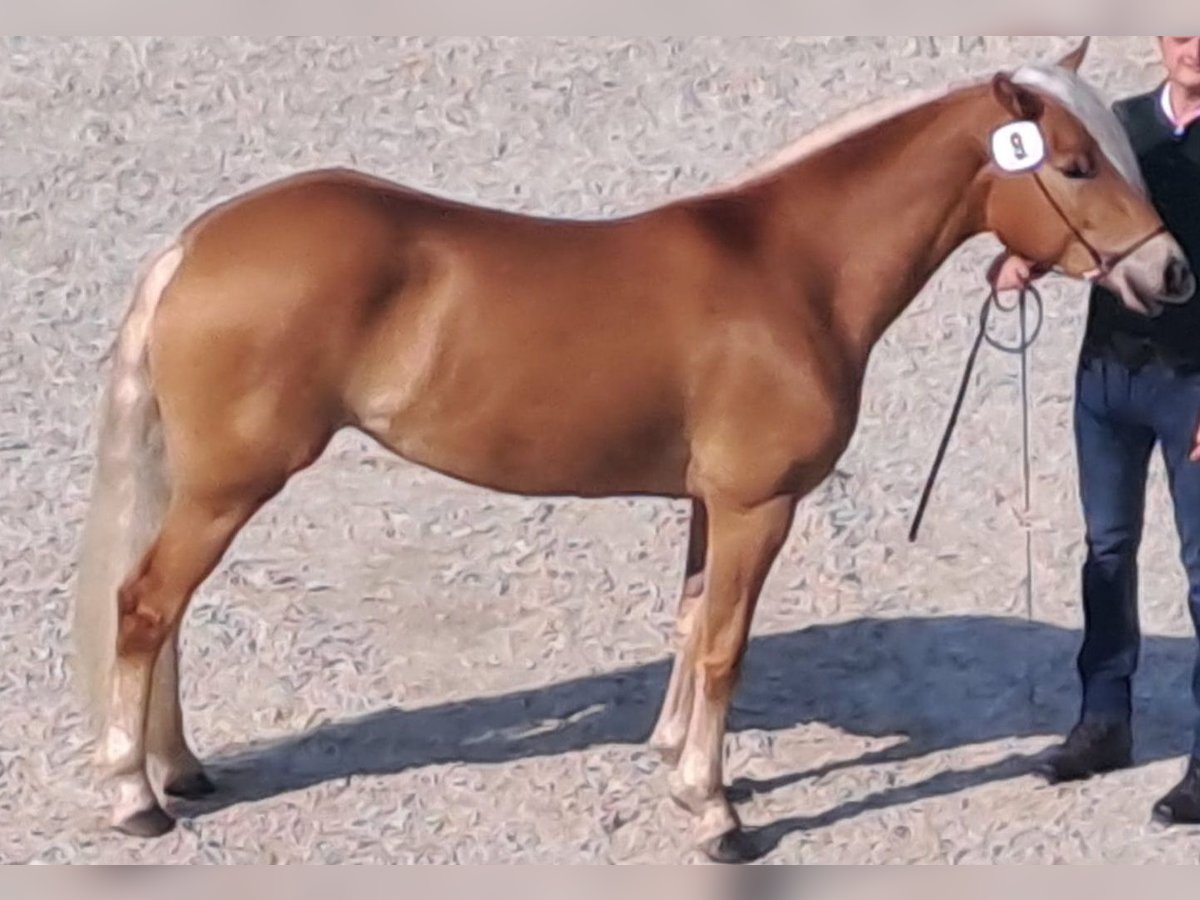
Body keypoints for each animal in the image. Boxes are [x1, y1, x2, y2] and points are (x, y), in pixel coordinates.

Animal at [72, 38, 1190, 864]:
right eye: (1076, 166)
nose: (1171, 275)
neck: (794, 271)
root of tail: (198, 243)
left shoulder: (709, 504)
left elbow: (693, 625)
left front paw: (682, 771)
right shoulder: (757, 506)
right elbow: (728, 645)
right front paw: (717, 814)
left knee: (165, 617)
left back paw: (179, 770)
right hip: (230, 485)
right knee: (147, 607)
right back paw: (136, 797)